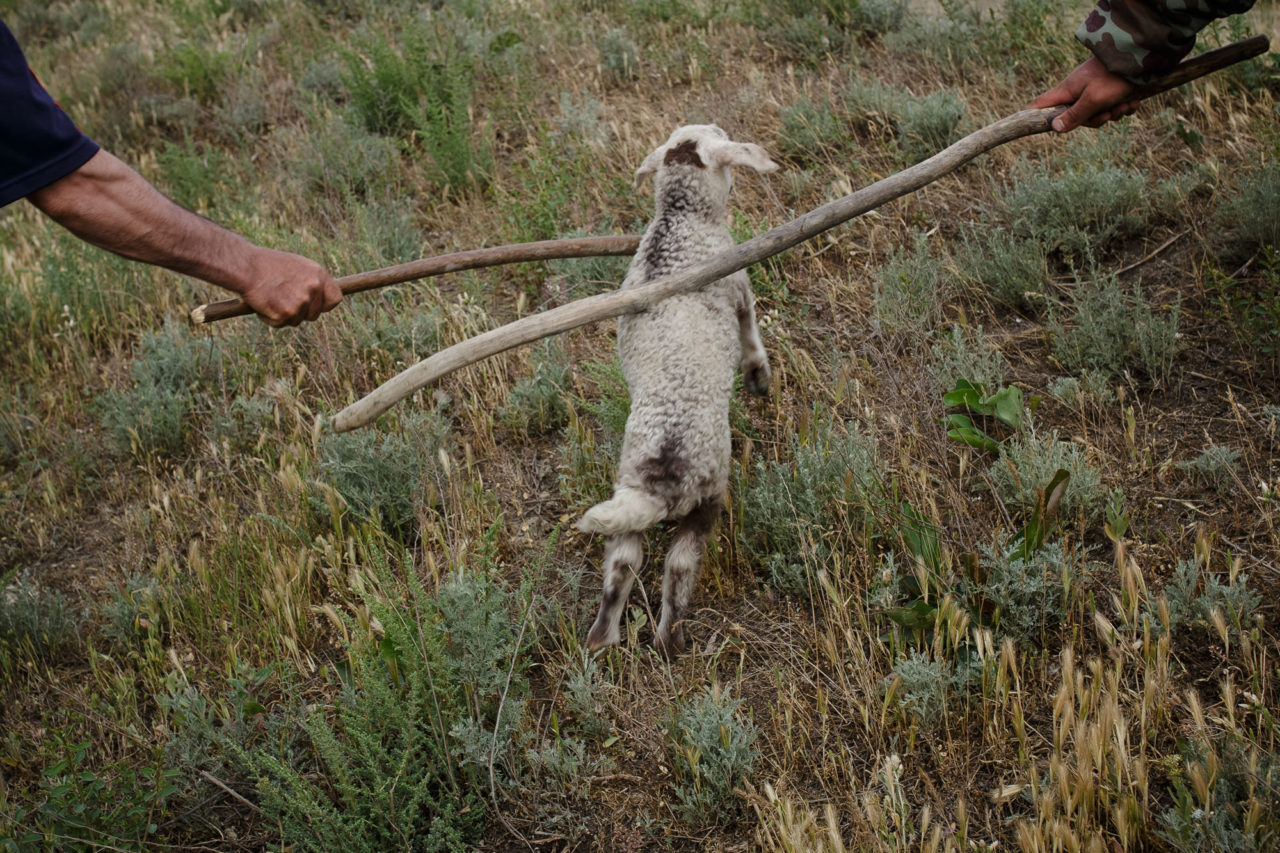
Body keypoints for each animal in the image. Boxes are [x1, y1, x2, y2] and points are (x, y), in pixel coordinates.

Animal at [577, 124, 778, 655]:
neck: (678, 220)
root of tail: (662, 480)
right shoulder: (738, 284)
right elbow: (751, 333)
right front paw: (759, 379)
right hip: (707, 497)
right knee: (680, 565)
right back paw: (672, 640)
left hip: (626, 492)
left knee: (623, 564)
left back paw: (601, 640)